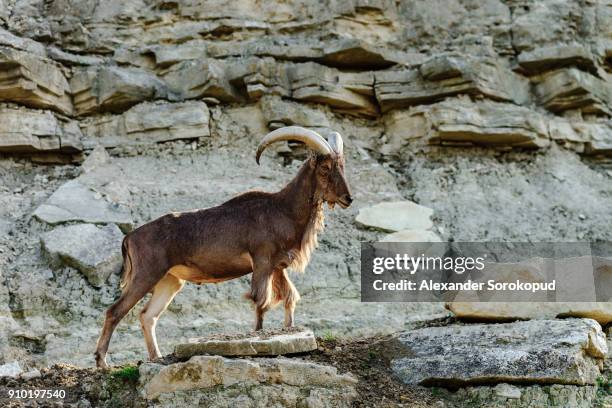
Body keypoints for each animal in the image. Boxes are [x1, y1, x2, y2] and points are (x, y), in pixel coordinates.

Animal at [95, 126, 354, 368]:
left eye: (342, 166)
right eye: (325, 168)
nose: (347, 198)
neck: (283, 210)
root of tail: (130, 238)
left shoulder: (278, 267)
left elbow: (288, 297)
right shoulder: (262, 261)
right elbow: (261, 301)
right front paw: (258, 338)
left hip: (169, 281)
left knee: (148, 316)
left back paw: (156, 357)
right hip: (146, 275)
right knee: (115, 312)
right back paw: (102, 362)